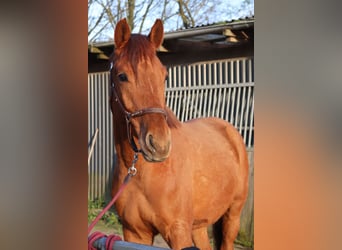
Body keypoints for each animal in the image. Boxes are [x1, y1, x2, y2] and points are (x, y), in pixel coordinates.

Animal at [111, 18, 248, 250]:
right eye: (122, 76)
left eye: (164, 75)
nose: (159, 145)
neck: (143, 174)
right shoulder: (134, 233)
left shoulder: (178, 231)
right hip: (199, 225)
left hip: (232, 217)